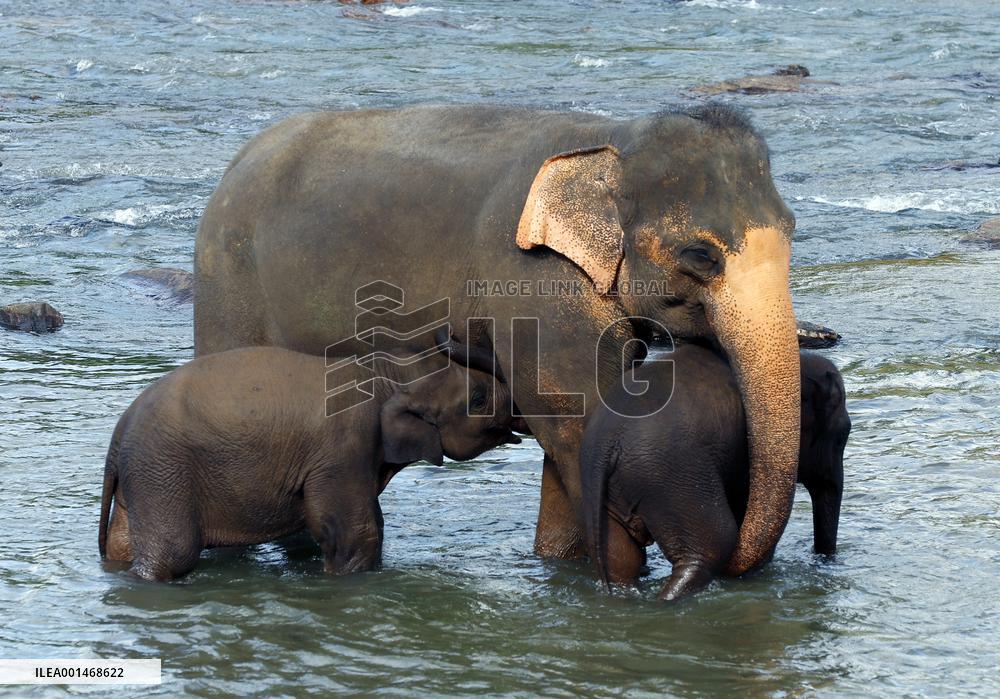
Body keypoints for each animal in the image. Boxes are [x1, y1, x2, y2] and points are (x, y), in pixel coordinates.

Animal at [98, 334, 522, 581]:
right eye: (478, 399)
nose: (447, 334)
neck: (381, 372)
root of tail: (117, 439)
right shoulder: (342, 449)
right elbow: (354, 533)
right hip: (163, 472)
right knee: (173, 554)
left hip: (144, 478)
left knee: (122, 546)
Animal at [193, 103, 801, 576]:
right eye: (701, 254)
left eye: (793, 230)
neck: (614, 139)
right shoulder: (536, 282)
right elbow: (576, 418)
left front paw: (558, 566)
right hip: (227, 287)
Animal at [580, 345, 850, 600]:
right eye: (842, 437)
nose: (823, 558)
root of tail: (609, 441)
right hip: (672, 478)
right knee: (713, 545)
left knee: (620, 558)